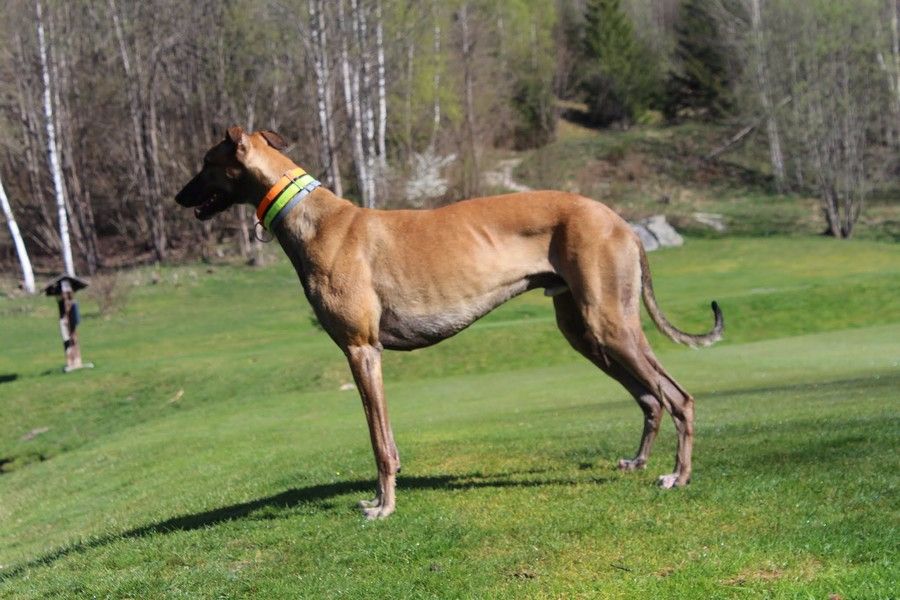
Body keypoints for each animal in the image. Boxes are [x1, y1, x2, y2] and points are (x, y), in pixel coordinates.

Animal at [175, 127, 723, 519]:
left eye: (205, 163)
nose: (178, 197)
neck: (314, 218)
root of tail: (620, 220)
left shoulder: (361, 349)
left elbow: (378, 442)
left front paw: (383, 507)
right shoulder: (368, 355)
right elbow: (388, 439)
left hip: (610, 322)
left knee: (679, 398)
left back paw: (678, 476)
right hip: (585, 330)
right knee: (651, 397)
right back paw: (640, 462)